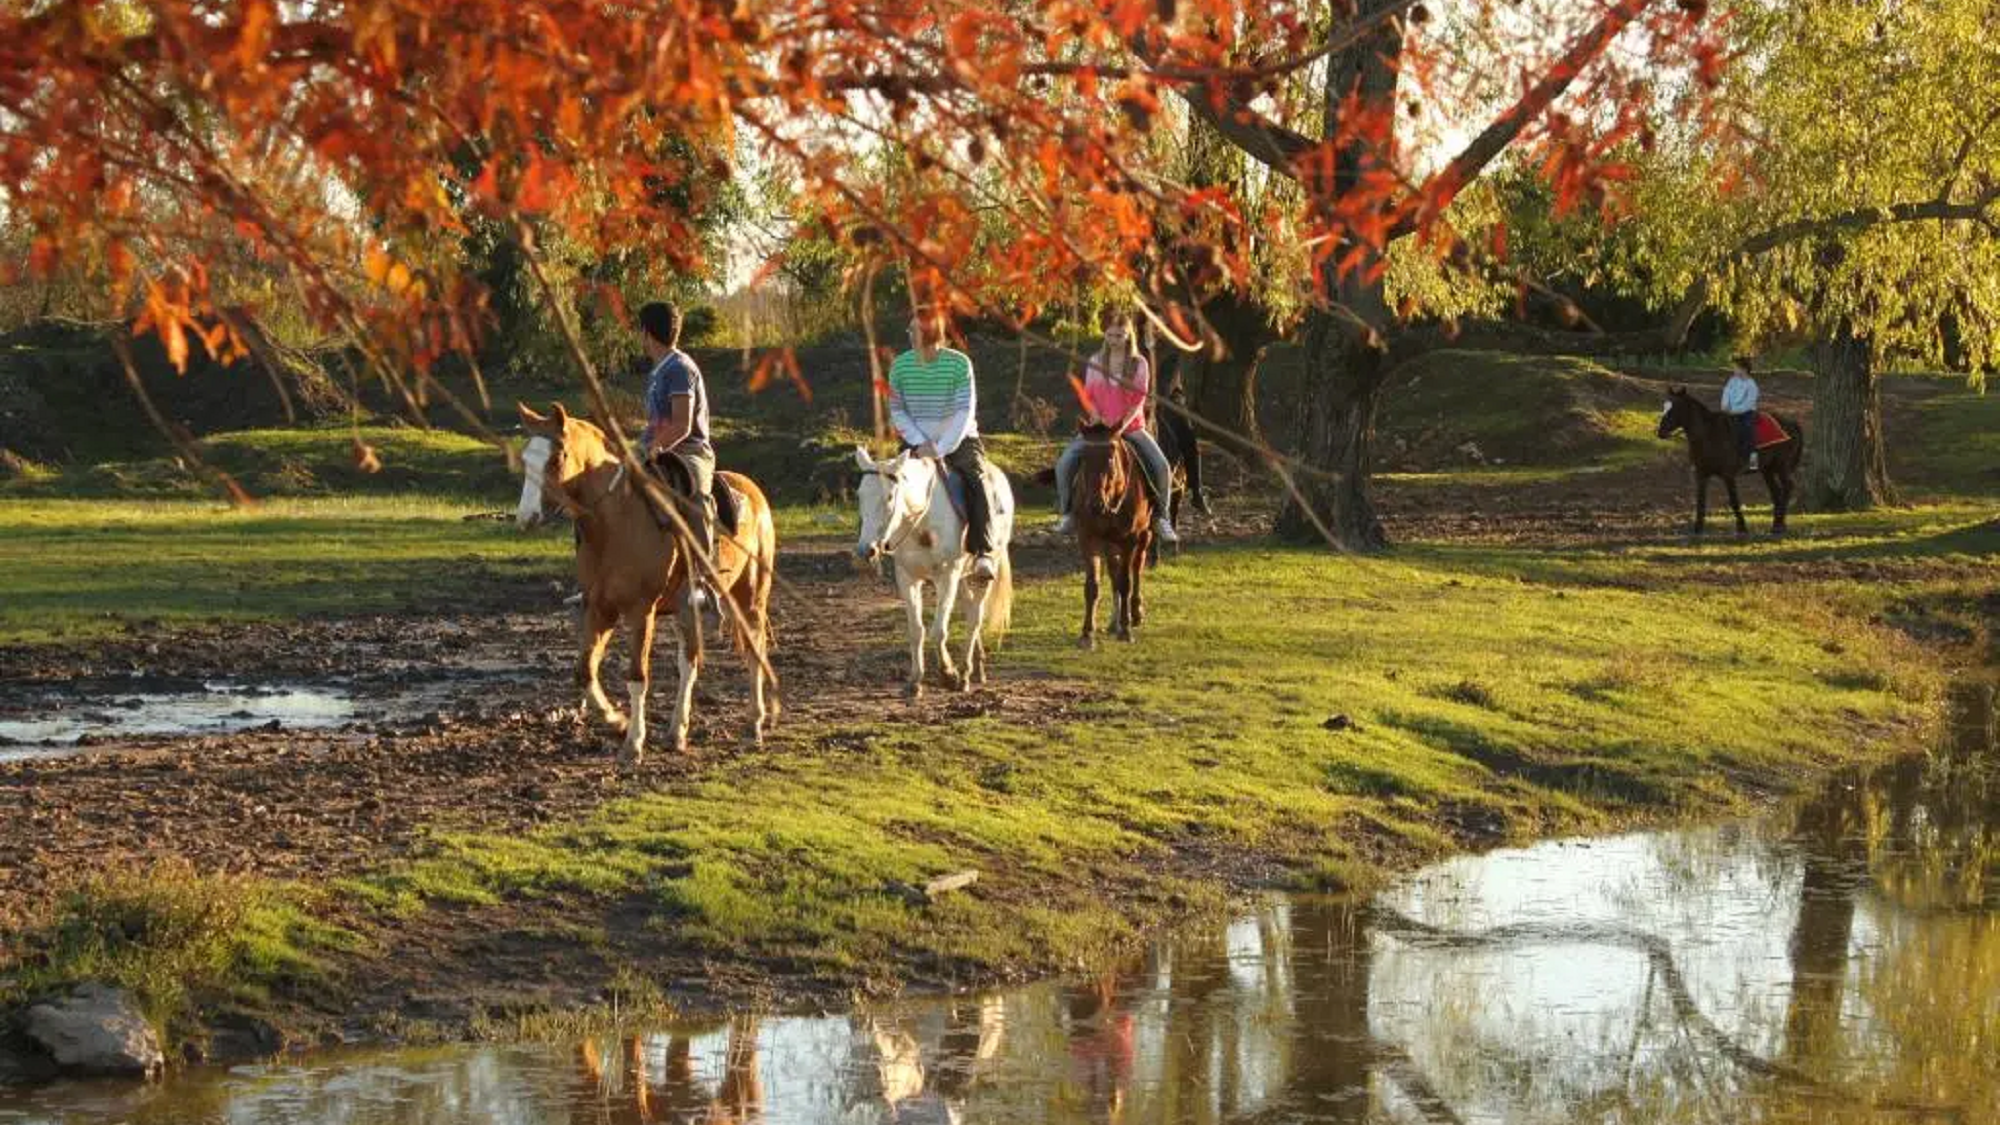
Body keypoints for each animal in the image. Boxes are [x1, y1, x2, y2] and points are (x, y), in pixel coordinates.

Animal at [512, 398, 776, 756]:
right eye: (526, 457)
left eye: (557, 457)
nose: (526, 518)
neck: (615, 523)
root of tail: (752, 491)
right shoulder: (599, 607)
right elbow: (584, 672)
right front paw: (616, 721)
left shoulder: (641, 611)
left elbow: (637, 676)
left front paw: (633, 741)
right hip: (687, 608)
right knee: (689, 663)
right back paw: (677, 732)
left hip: (750, 598)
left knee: (753, 650)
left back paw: (754, 724)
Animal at [856, 444, 1016, 692]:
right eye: (860, 495)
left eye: (889, 497)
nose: (867, 549)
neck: (922, 522)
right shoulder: (908, 578)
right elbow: (916, 630)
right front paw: (915, 679)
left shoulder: (947, 576)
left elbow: (938, 631)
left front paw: (948, 674)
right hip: (962, 577)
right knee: (969, 608)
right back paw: (976, 667)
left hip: (986, 569)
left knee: (975, 617)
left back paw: (965, 674)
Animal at [1072, 422, 1152, 648]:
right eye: (1084, 456)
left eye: (1110, 457)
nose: (1094, 505)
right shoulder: (1087, 538)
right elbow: (1093, 586)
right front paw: (1087, 634)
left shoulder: (1129, 540)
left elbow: (1125, 582)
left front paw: (1126, 630)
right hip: (1109, 543)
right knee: (1114, 571)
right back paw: (1113, 622)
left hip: (1144, 534)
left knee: (1137, 566)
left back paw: (1135, 613)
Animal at [1648, 388, 1808, 536]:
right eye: (1664, 407)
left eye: (1675, 408)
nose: (1660, 432)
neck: (1709, 435)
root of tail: (1792, 423)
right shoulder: (1701, 474)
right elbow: (1700, 501)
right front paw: (1698, 529)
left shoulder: (1728, 475)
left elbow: (1734, 501)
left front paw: (1742, 528)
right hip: (1767, 469)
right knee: (1777, 493)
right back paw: (1777, 524)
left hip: (1782, 466)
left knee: (1788, 487)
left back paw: (1778, 526)